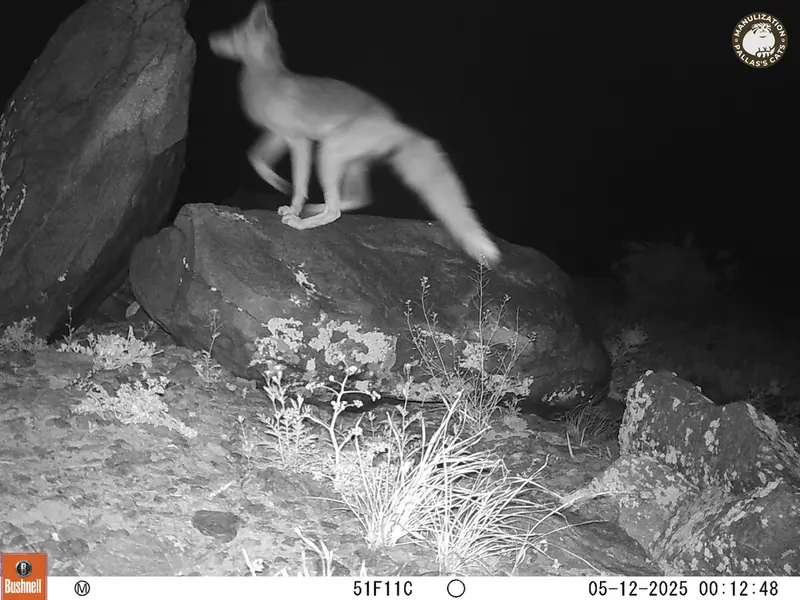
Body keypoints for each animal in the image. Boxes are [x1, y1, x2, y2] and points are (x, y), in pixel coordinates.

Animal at [208, 1, 501, 267]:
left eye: (232, 34)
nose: (211, 39)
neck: (265, 79)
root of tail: (399, 125)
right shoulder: (277, 135)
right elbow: (256, 159)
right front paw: (281, 187)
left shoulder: (299, 141)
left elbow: (298, 185)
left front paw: (292, 205)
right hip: (350, 162)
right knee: (359, 198)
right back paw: (315, 209)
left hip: (328, 151)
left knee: (336, 209)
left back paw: (304, 222)